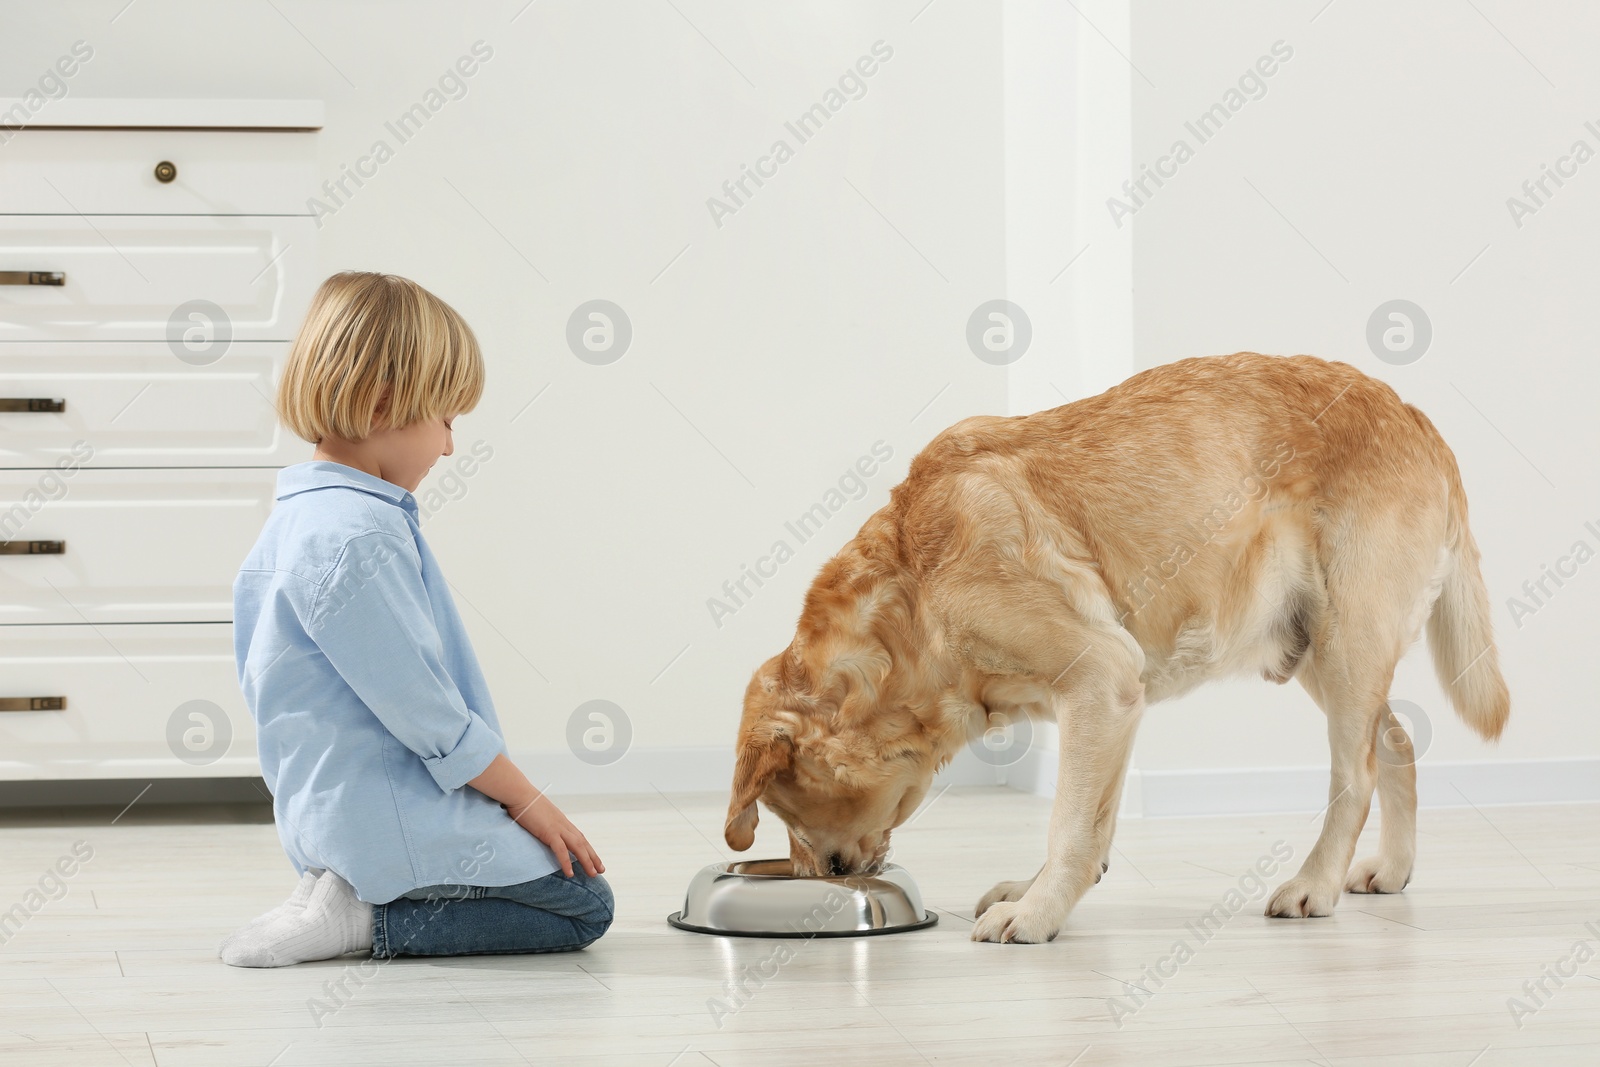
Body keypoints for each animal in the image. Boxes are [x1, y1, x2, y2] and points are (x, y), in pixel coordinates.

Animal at [726, 351, 1510, 940]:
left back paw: (1313, 885)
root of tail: (1414, 415)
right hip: (1315, 648)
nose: (817, 878)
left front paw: (1035, 913)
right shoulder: (1110, 702)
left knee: (1357, 775)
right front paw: (1041, 890)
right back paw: (1391, 868)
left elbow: (1069, 825)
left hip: (1348, 644)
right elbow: (1092, 817)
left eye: (787, 810)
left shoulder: (1100, 678)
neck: (912, 592)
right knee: (1398, 741)